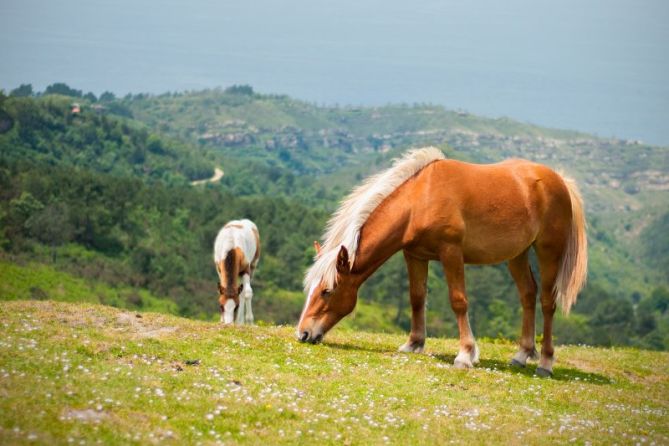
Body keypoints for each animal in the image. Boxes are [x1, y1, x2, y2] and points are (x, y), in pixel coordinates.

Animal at [298, 147, 584, 376]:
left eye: (327, 291)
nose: (303, 334)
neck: (419, 200)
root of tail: (559, 180)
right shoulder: (414, 255)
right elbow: (416, 298)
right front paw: (413, 344)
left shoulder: (451, 252)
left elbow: (458, 301)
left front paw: (465, 354)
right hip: (517, 254)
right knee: (527, 294)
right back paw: (522, 355)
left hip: (549, 251)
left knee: (547, 302)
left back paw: (545, 363)